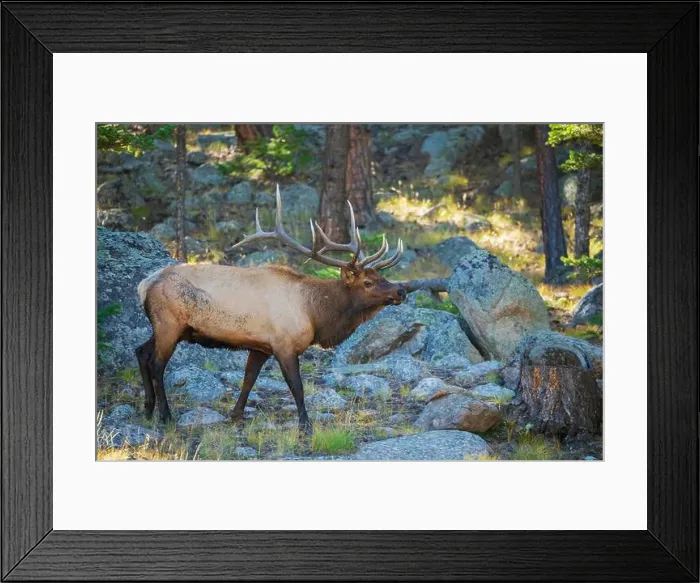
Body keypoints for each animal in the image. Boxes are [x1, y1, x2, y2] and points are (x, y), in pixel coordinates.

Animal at [136, 185, 406, 434]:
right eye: (367, 282)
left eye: (381, 276)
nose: (401, 290)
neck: (314, 313)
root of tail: (145, 284)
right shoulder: (284, 344)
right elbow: (296, 386)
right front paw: (305, 426)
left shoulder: (260, 347)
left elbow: (249, 379)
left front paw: (236, 415)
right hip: (169, 324)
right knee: (157, 364)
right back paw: (165, 416)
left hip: (167, 327)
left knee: (141, 352)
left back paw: (147, 410)